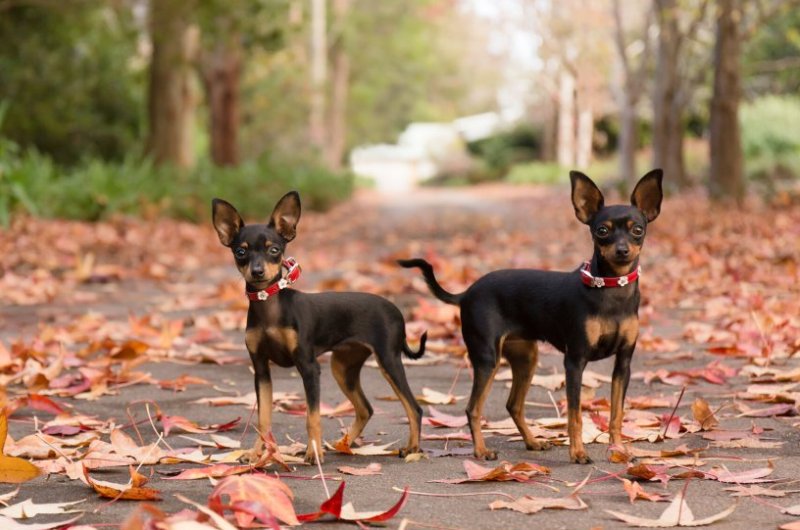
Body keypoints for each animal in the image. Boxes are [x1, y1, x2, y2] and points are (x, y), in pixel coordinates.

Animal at [211, 192, 424, 460]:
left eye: (274, 250)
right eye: (240, 252)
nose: (257, 271)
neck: (268, 304)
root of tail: (396, 310)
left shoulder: (309, 367)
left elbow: (312, 417)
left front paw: (313, 453)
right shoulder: (261, 369)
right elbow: (263, 419)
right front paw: (256, 454)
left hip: (388, 360)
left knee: (414, 407)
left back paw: (412, 448)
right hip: (343, 367)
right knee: (365, 409)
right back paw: (342, 445)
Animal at [400, 169, 664, 462]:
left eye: (638, 230)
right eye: (602, 231)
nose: (622, 250)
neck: (611, 289)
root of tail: (467, 293)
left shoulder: (623, 364)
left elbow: (617, 412)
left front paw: (619, 449)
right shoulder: (575, 361)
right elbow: (575, 415)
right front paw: (578, 452)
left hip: (525, 358)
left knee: (513, 404)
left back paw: (532, 442)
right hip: (488, 359)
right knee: (473, 408)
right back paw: (481, 450)